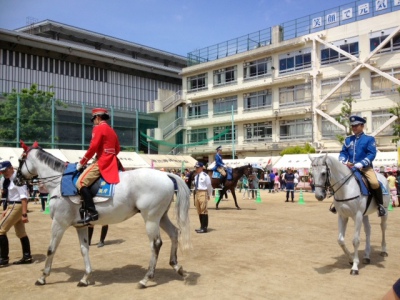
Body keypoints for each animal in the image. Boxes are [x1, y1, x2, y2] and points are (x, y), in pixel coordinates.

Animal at [15, 142, 191, 288]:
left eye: (19, 160)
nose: (16, 180)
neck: (59, 183)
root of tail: (166, 175)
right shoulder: (80, 226)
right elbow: (84, 249)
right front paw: (85, 277)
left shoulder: (59, 223)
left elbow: (51, 249)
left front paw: (43, 277)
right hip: (161, 217)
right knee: (174, 233)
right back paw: (177, 267)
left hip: (151, 219)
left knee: (156, 244)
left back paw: (146, 278)